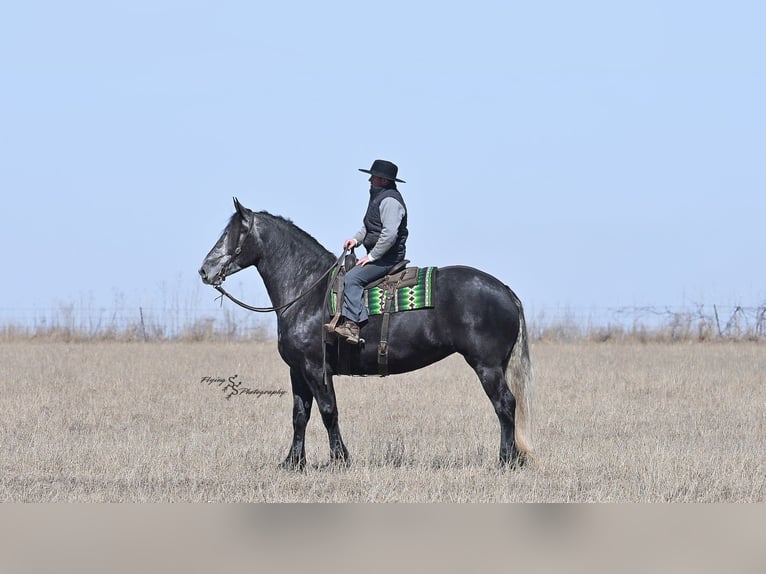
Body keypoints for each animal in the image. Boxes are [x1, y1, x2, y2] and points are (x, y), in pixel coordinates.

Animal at [199, 198, 533, 469]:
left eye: (233, 233)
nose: (205, 270)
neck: (308, 292)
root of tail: (504, 289)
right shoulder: (298, 370)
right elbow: (300, 415)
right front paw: (293, 462)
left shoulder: (316, 368)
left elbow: (329, 411)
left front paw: (340, 459)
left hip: (487, 367)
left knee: (505, 404)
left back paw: (506, 460)